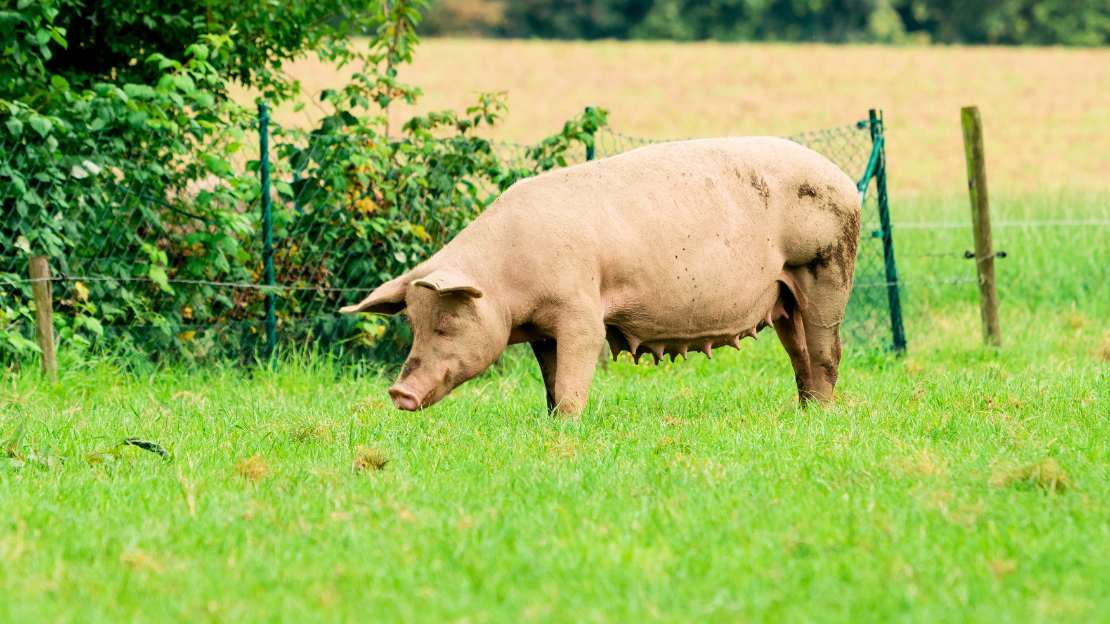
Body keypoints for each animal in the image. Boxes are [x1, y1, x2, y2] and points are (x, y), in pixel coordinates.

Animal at [340, 137, 861, 415]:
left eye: (447, 323)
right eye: (413, 325)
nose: (398, 393)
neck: (508, 283)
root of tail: (845, 180)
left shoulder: (579, 310)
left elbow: (577, 369)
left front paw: (569, 426)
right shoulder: (542, 332)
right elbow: (551, 383)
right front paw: (552, 423)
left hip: (827, 268)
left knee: (826, 350)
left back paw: (822, 413)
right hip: (785, 296)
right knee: (798, 353)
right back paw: (806, 411)